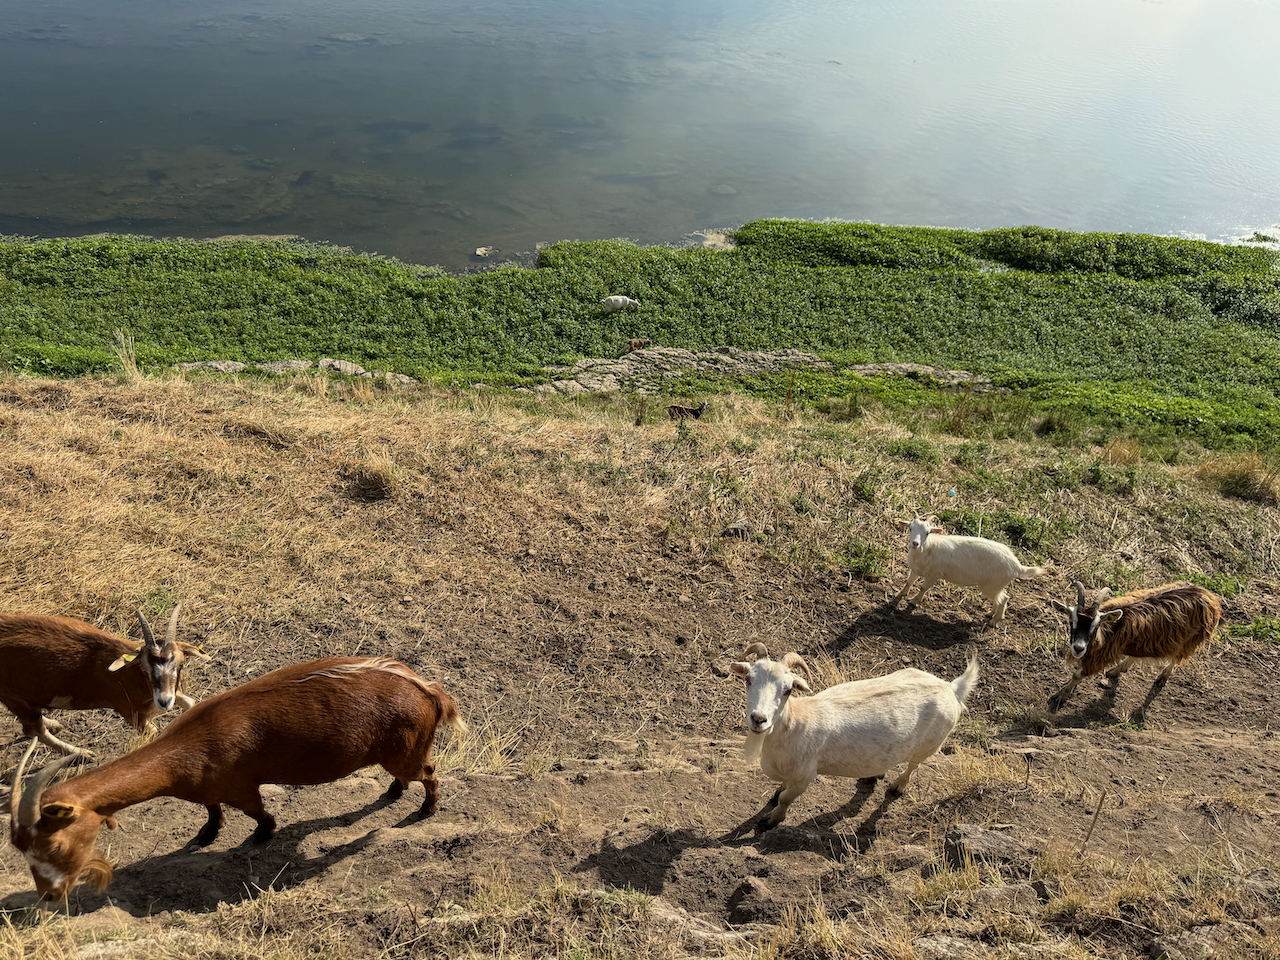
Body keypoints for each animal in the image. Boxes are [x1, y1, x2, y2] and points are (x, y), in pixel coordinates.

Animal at [0, 606, 206, 758]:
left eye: (180, 665)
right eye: (145, 669)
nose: (164, 701)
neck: (130, 674)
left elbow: (191, 702)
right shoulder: (131, 713)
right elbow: (155, 732)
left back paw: (54, 724)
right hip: (14, 698)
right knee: (33, 729)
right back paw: (81, 754)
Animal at [8, 656, 465, 900]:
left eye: (56, 844)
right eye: (21, 849)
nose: (49, 895)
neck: (184, 750)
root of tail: (429, 691)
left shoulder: (242, 787)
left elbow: (260, 815)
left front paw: (260, 837)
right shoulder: (207, 788)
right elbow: (212, 811)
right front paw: (206, 835)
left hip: (406, 754)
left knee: (429, 773)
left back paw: (426, 809)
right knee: (408, 777)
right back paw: (393, 792)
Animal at [729, 643, 978, 829]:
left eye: (788, 690)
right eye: (748, 680)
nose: (758, 719)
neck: (794, 723)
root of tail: (950, 687)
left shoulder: (804, 776)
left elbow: (785, 800)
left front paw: (772, 820)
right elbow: (781, 791)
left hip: (930, 745)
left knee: (913, 766)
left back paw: (897, 787)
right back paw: (875, 774)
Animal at [892, 517, 1048, 627]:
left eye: (928, 532)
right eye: (910, 528)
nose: (915, 544)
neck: (928, 548)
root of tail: (1017, 566)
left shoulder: (933, 575)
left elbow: (923, 588)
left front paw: (913, 602)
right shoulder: (916, 569)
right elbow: (909, 582)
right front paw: (900, 594)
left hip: (991, 585)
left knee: (1004, 599)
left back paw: (994, 621)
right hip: (996, 585)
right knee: (999, 598)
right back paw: (990, 613)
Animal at [1047, 580, 1220, 712]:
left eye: (1095, 627)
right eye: (1072, 622)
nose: (1078, 648)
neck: (1110, 629)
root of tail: (1209, 596)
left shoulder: (1100, 657)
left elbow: (1078, 675)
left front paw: (1061, 696)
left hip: (1190, 639)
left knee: (1177, 657)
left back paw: (1162, 677)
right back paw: (1116, 670)